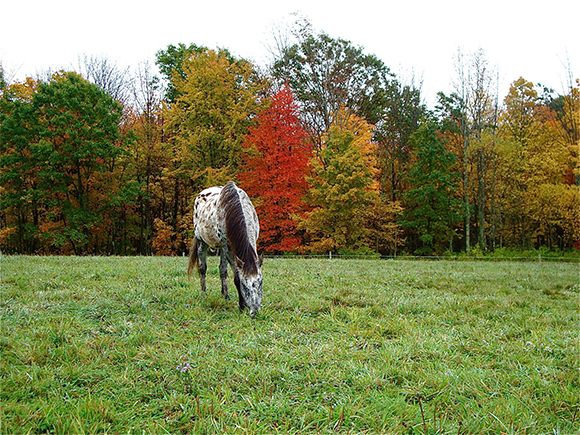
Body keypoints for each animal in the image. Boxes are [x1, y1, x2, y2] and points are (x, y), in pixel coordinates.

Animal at [188, 181, 262, 316]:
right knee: (202, 269)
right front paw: (241, 305)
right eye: (244, 286)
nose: (254, 311)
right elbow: (236, 277)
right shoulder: (228, 249)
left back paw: (225, 295)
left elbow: (225, 271)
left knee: (222, 270)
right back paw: (203, 293)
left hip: (222, 247)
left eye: (260, 283)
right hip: (202, 242)